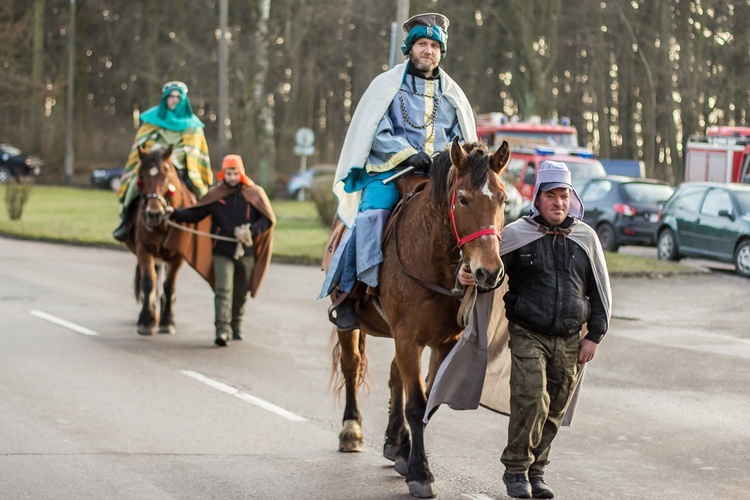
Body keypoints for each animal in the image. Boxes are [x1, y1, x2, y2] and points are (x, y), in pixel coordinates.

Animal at [125, 146, 194, 338]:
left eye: (167, 176)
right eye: (141, 177)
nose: (153, 214)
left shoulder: (178, 257)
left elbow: (169, 287)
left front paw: (167, 321)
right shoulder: (144, 250)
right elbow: (149, 282)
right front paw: (147, 321)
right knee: (153, 282)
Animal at [332, 139, 516, 498]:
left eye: (503, 199)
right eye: (463, 199)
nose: (489, 272)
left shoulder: (441, 343)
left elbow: (428, 399)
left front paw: (406, 454)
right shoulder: (407, 337)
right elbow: (416, 403)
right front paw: (420, 473)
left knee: (395, 377)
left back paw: (395, 443)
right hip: (352, 323)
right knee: (351, 365)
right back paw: (350, 429)